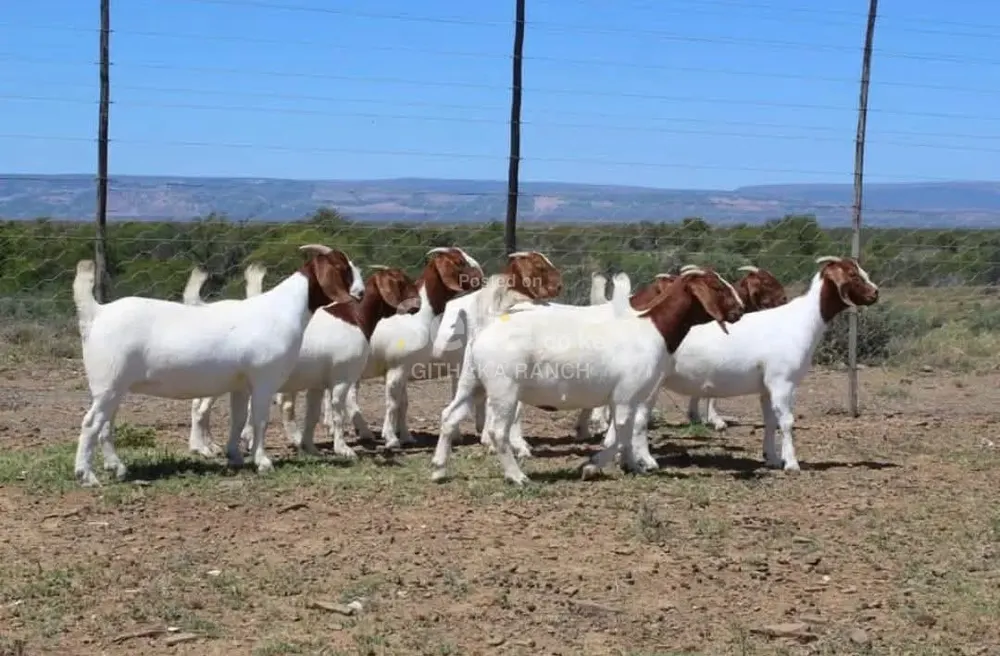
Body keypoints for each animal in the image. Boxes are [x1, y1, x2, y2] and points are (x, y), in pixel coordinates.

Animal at [70, 245, 363, 486]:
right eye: (343, 267)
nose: (360, 293)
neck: (282, 309)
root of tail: (96, 313)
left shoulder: (240, 384)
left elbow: (239, 418)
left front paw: (234, 455)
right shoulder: (264, 379)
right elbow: (259, 419)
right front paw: (262, 461)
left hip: (113, 387)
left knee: (105, 425)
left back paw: (117, 468)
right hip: (109, 382)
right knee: (90, 423)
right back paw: (87, 475)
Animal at [433, 267, 745, 484]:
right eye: (716, 286)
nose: (740, 310)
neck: (652, 328)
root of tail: (486, 329)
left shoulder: (630, 398)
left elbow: (626, 433)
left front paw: (632, 465)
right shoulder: (625, 395)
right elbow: (620, 433)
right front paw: (591, 466)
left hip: (471, 380)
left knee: (449, 416)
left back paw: (438, 470)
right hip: (504, 388)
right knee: (498, 432)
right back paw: (517, 476)